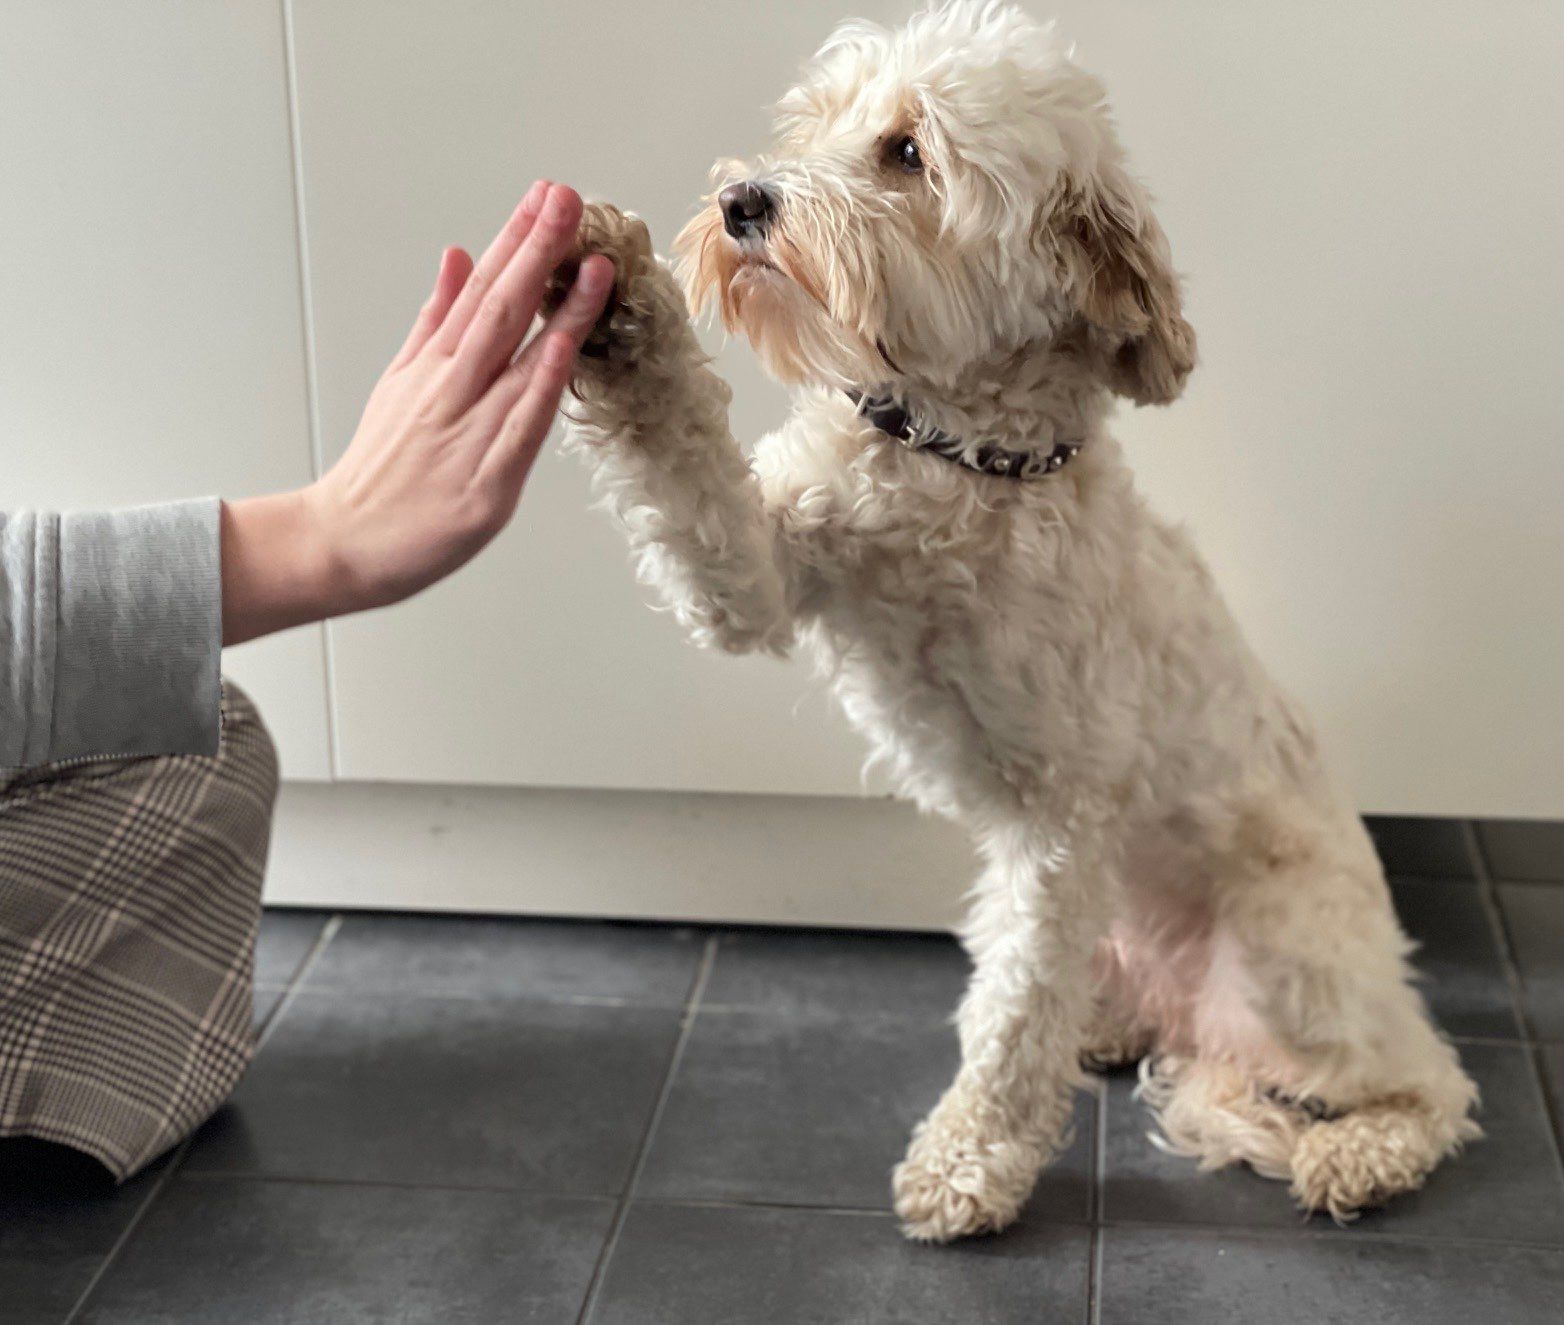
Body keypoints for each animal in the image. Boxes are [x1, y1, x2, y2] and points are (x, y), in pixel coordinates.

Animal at [559, 0, 1476, 1245]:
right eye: (814, 123)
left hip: (1289, 958)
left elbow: (1008, 1019)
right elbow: (686, 468)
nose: (745, 199)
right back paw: (1114, 1026)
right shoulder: (757, 564)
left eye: (906, 153)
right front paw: (620, 308)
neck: (962, 466)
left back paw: (1363, 1151)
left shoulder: (1062, 817)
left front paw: (968, 1163)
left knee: (1432, 1080)